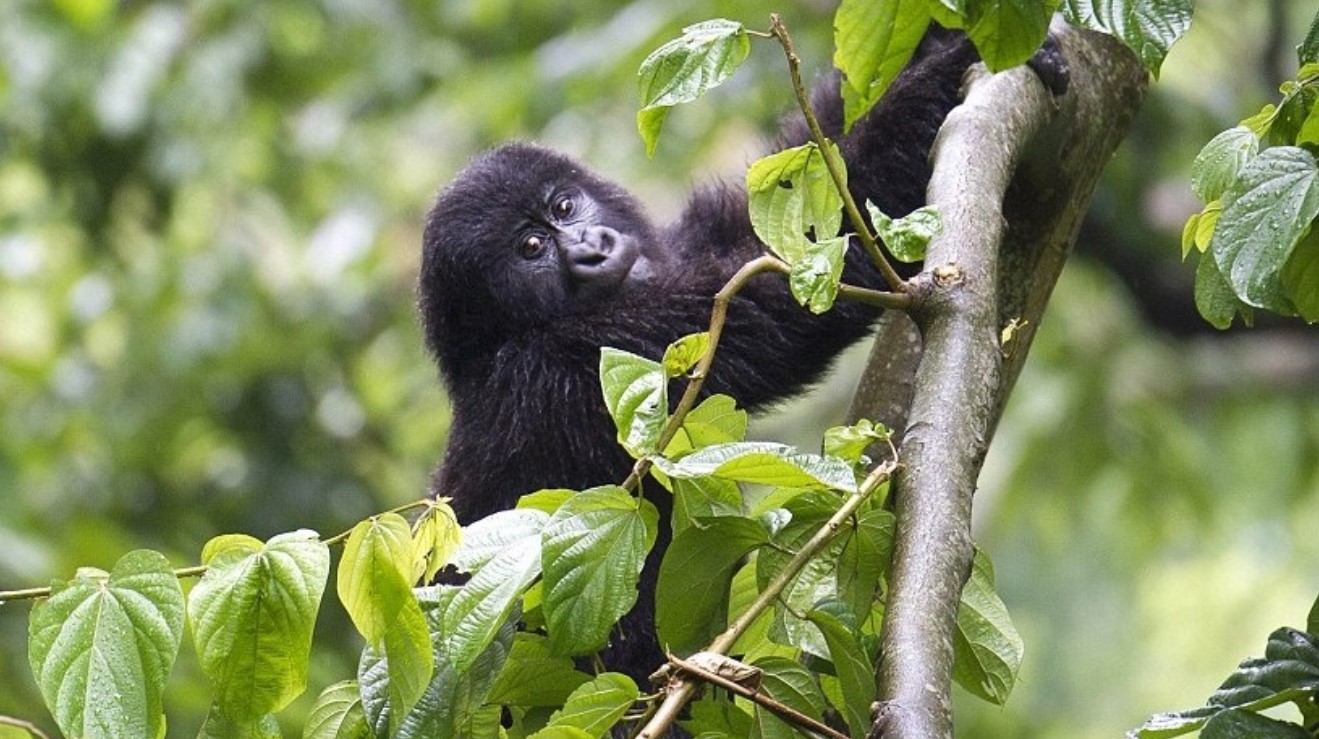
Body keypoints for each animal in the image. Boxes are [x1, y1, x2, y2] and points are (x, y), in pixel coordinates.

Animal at [422, 28, 991, 686]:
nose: (593, 247)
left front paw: (947, 38)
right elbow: (784, 297)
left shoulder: (677, 246)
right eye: (532, 247)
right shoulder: (577, 357)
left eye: (564, 206)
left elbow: (785, 208)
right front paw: (946, 71)